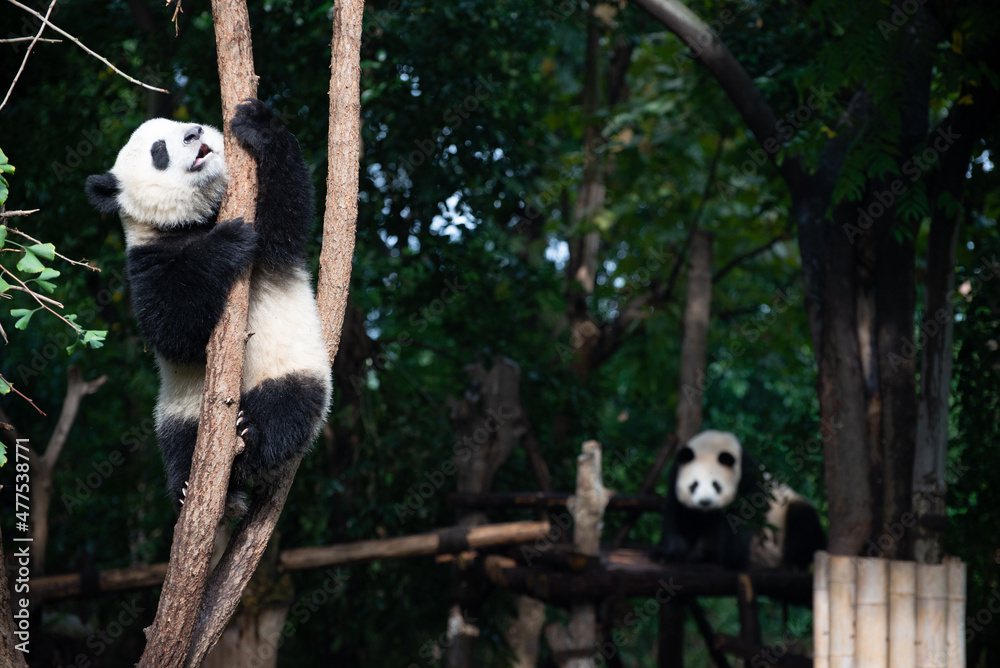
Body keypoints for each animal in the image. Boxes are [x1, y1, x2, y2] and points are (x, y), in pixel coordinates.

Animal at [86, 99, 332, 511]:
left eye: (186, 124)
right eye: (158, 151)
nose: (193, 134)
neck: (195, 220)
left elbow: (285, 217)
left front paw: (260, 125)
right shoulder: (145, 261)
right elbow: (174, 329)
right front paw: (227, 242)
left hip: (293, 367)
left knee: (287, 409)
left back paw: (249, 436)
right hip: (180, 408)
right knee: (179, 442)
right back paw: (193, 485)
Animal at [652, 430, 825, 571]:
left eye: (716, 485)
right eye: (694, 485)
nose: (705, 502)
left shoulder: (747, 478)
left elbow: (741, 519)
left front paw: (733, 560)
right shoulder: (675, 478)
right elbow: (678, 516)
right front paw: (667, 554)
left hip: (786, 513)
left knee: (803, 519)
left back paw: (799, 561)